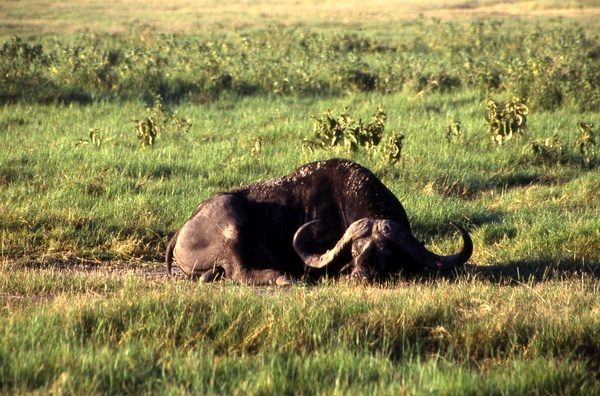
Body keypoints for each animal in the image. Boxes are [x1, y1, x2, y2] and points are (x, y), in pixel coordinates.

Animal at [165, 158, 474, 284]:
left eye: (385, 250)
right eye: (355, 250)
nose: (361, 275)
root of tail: (183, 228)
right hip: (232, 224)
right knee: (239, 272)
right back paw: (283, 278)